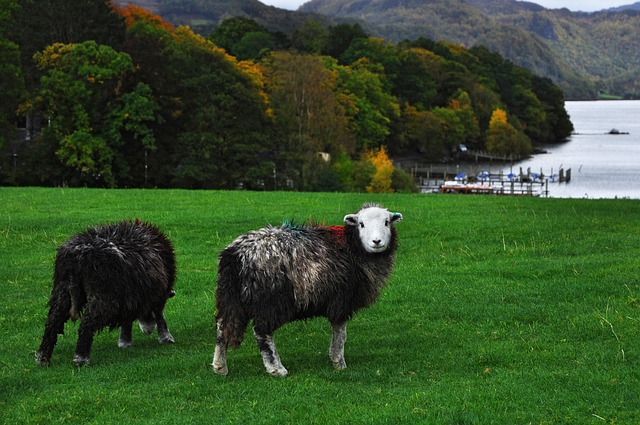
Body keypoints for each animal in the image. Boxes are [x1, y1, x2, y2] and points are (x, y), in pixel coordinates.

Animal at [36, 219, 176, 364]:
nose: (148, 330)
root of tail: (76, 259)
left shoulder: (130, 297)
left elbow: (128, 318)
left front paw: (124, 342)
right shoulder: (157, 293)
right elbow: (159, 314)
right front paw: (166, 338)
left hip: (62, 291)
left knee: (52, 322)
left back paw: (42, 358)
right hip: (103, 297)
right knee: (86, 325)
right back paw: (81, 358)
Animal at [212, 202, 402, 374]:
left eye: (387, 222)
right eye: (361, 224)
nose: (376, 241)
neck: (352, 246)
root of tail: (235, 254)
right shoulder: (341, 299)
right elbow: (341, 334)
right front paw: (339, 363)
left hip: (231, 297)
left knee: (222, 326)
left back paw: (220, 367)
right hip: (270, 299)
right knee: (261, 331)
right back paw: (276, 369)